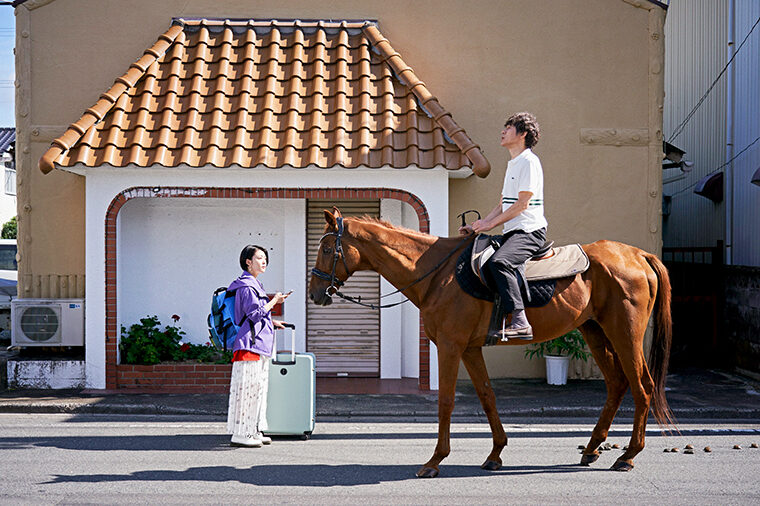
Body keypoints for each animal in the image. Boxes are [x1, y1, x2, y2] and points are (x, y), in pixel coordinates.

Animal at [306, 208, 672, 476]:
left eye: (325, 248)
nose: (315, 293)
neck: (437, 274)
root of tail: (638, 255)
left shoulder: (450, 347)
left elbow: (446, 402)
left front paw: (435, 461)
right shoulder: (469, 348)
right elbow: (487, 397)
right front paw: (495, 453)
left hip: (625, 334)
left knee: (642, 387)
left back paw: (628, 455)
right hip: (595, 331)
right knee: (617, 384)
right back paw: (594, 447)